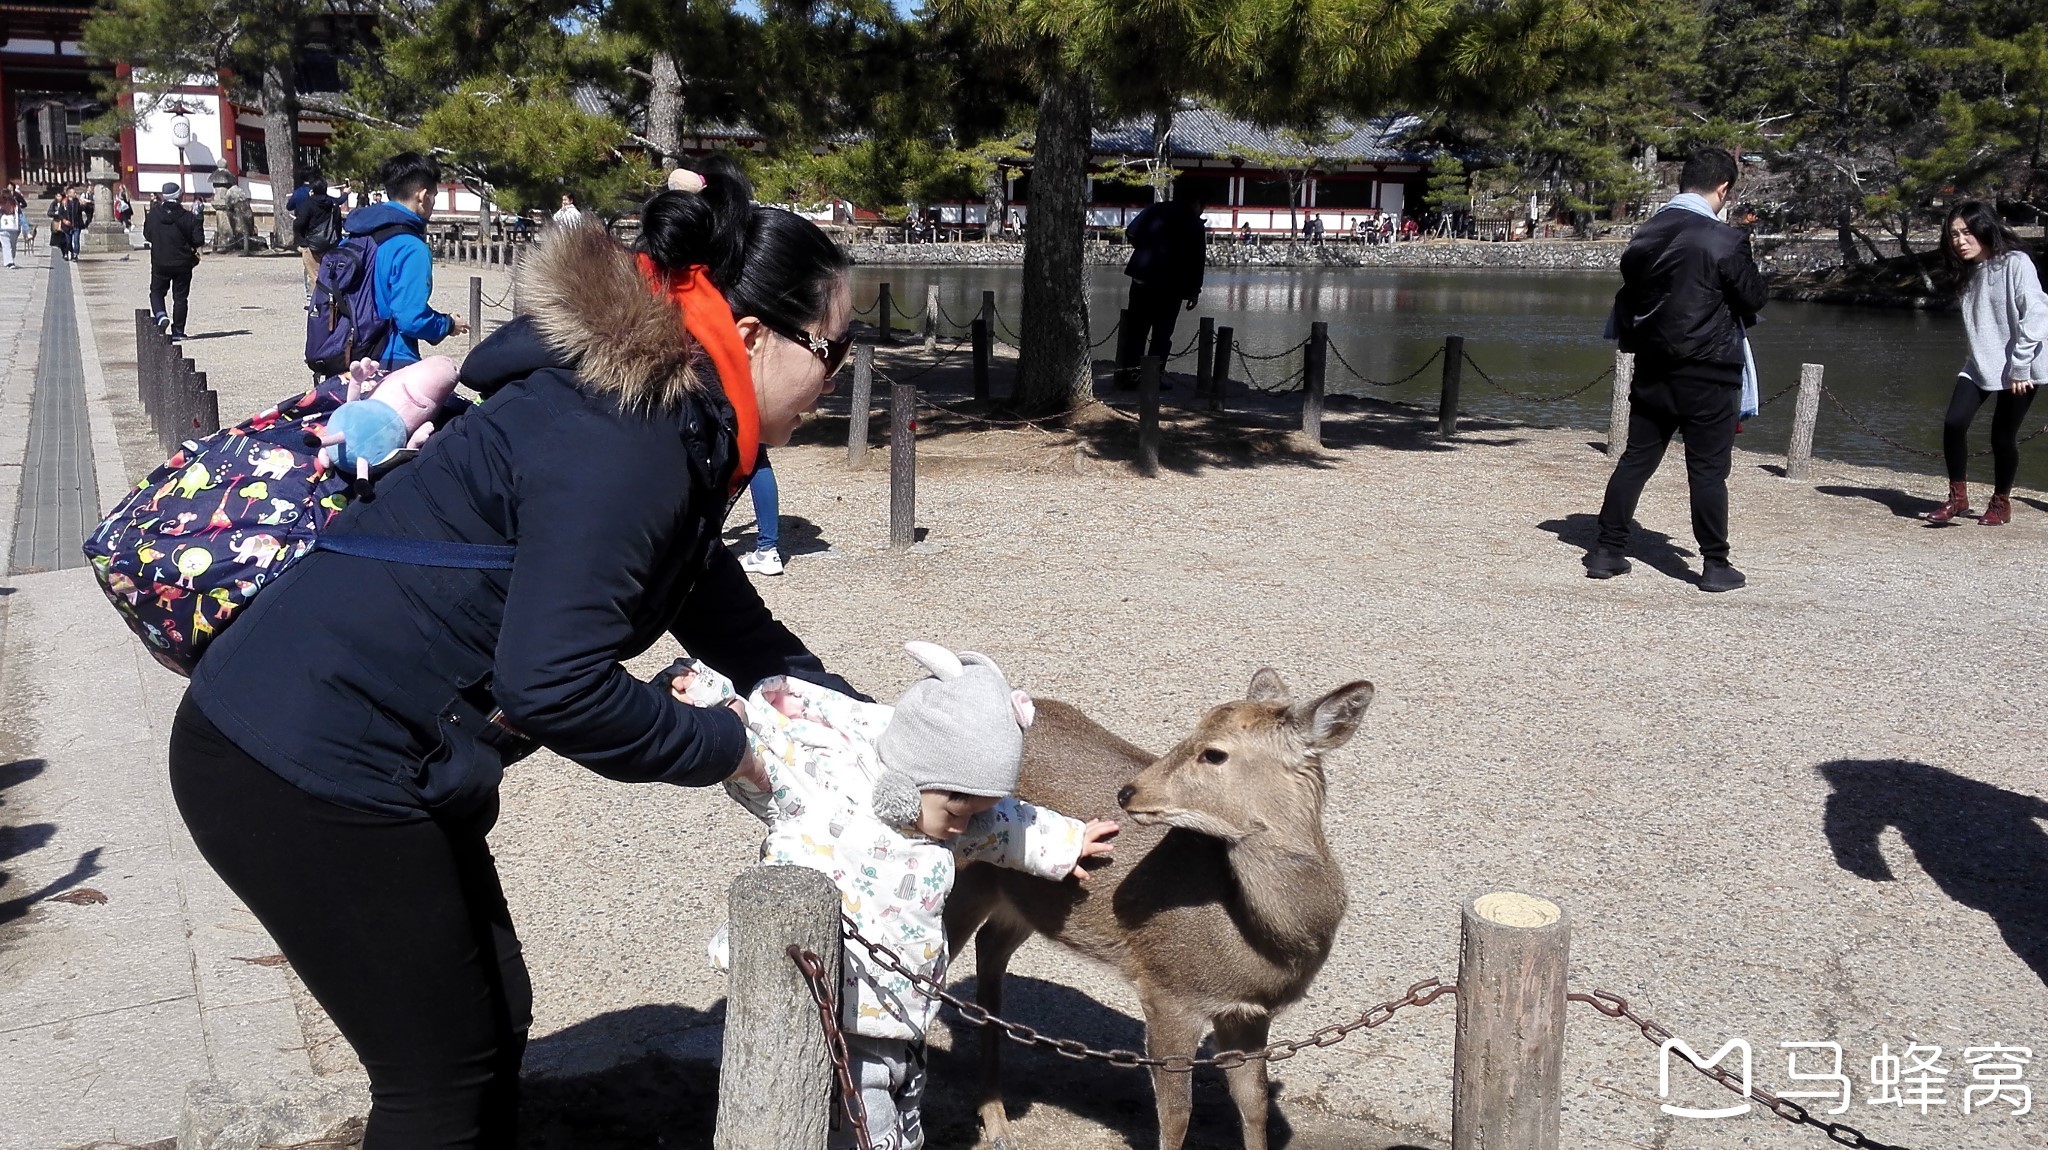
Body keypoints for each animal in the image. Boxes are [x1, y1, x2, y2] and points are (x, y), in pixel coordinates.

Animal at [946, 667, 1376, 1137]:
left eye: (1214, 753)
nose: (1127, 793)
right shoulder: (1170, 990)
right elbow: (1176, 1112)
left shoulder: (1249, 1012)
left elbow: (1254, 1102)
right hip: (964, 876)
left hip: (1024, 902)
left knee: (990, 948)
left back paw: (995, 1115)